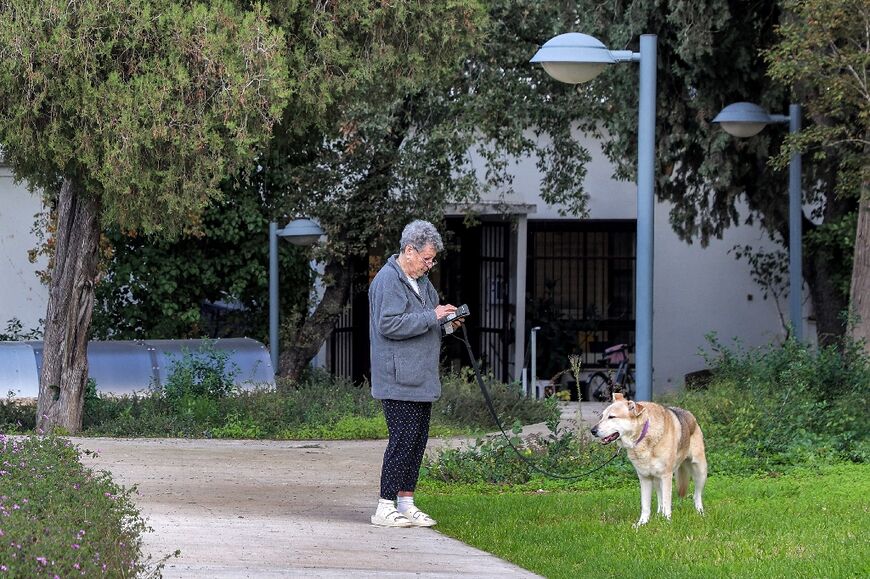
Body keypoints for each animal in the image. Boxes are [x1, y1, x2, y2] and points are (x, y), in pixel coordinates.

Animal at [592, 394, 708, 524]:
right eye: (602, 417)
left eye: (611, 417)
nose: (592, 431)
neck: (643, 434)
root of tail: (690, 415)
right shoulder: (644, 478)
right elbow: (646, 505)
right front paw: (642, 523)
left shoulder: (666, 476)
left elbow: (667, 502)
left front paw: (667, 522)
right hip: (656, 478)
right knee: (660, 499)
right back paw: (658, 515)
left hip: (700, 471)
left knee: (696, 495)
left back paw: (700, 512)